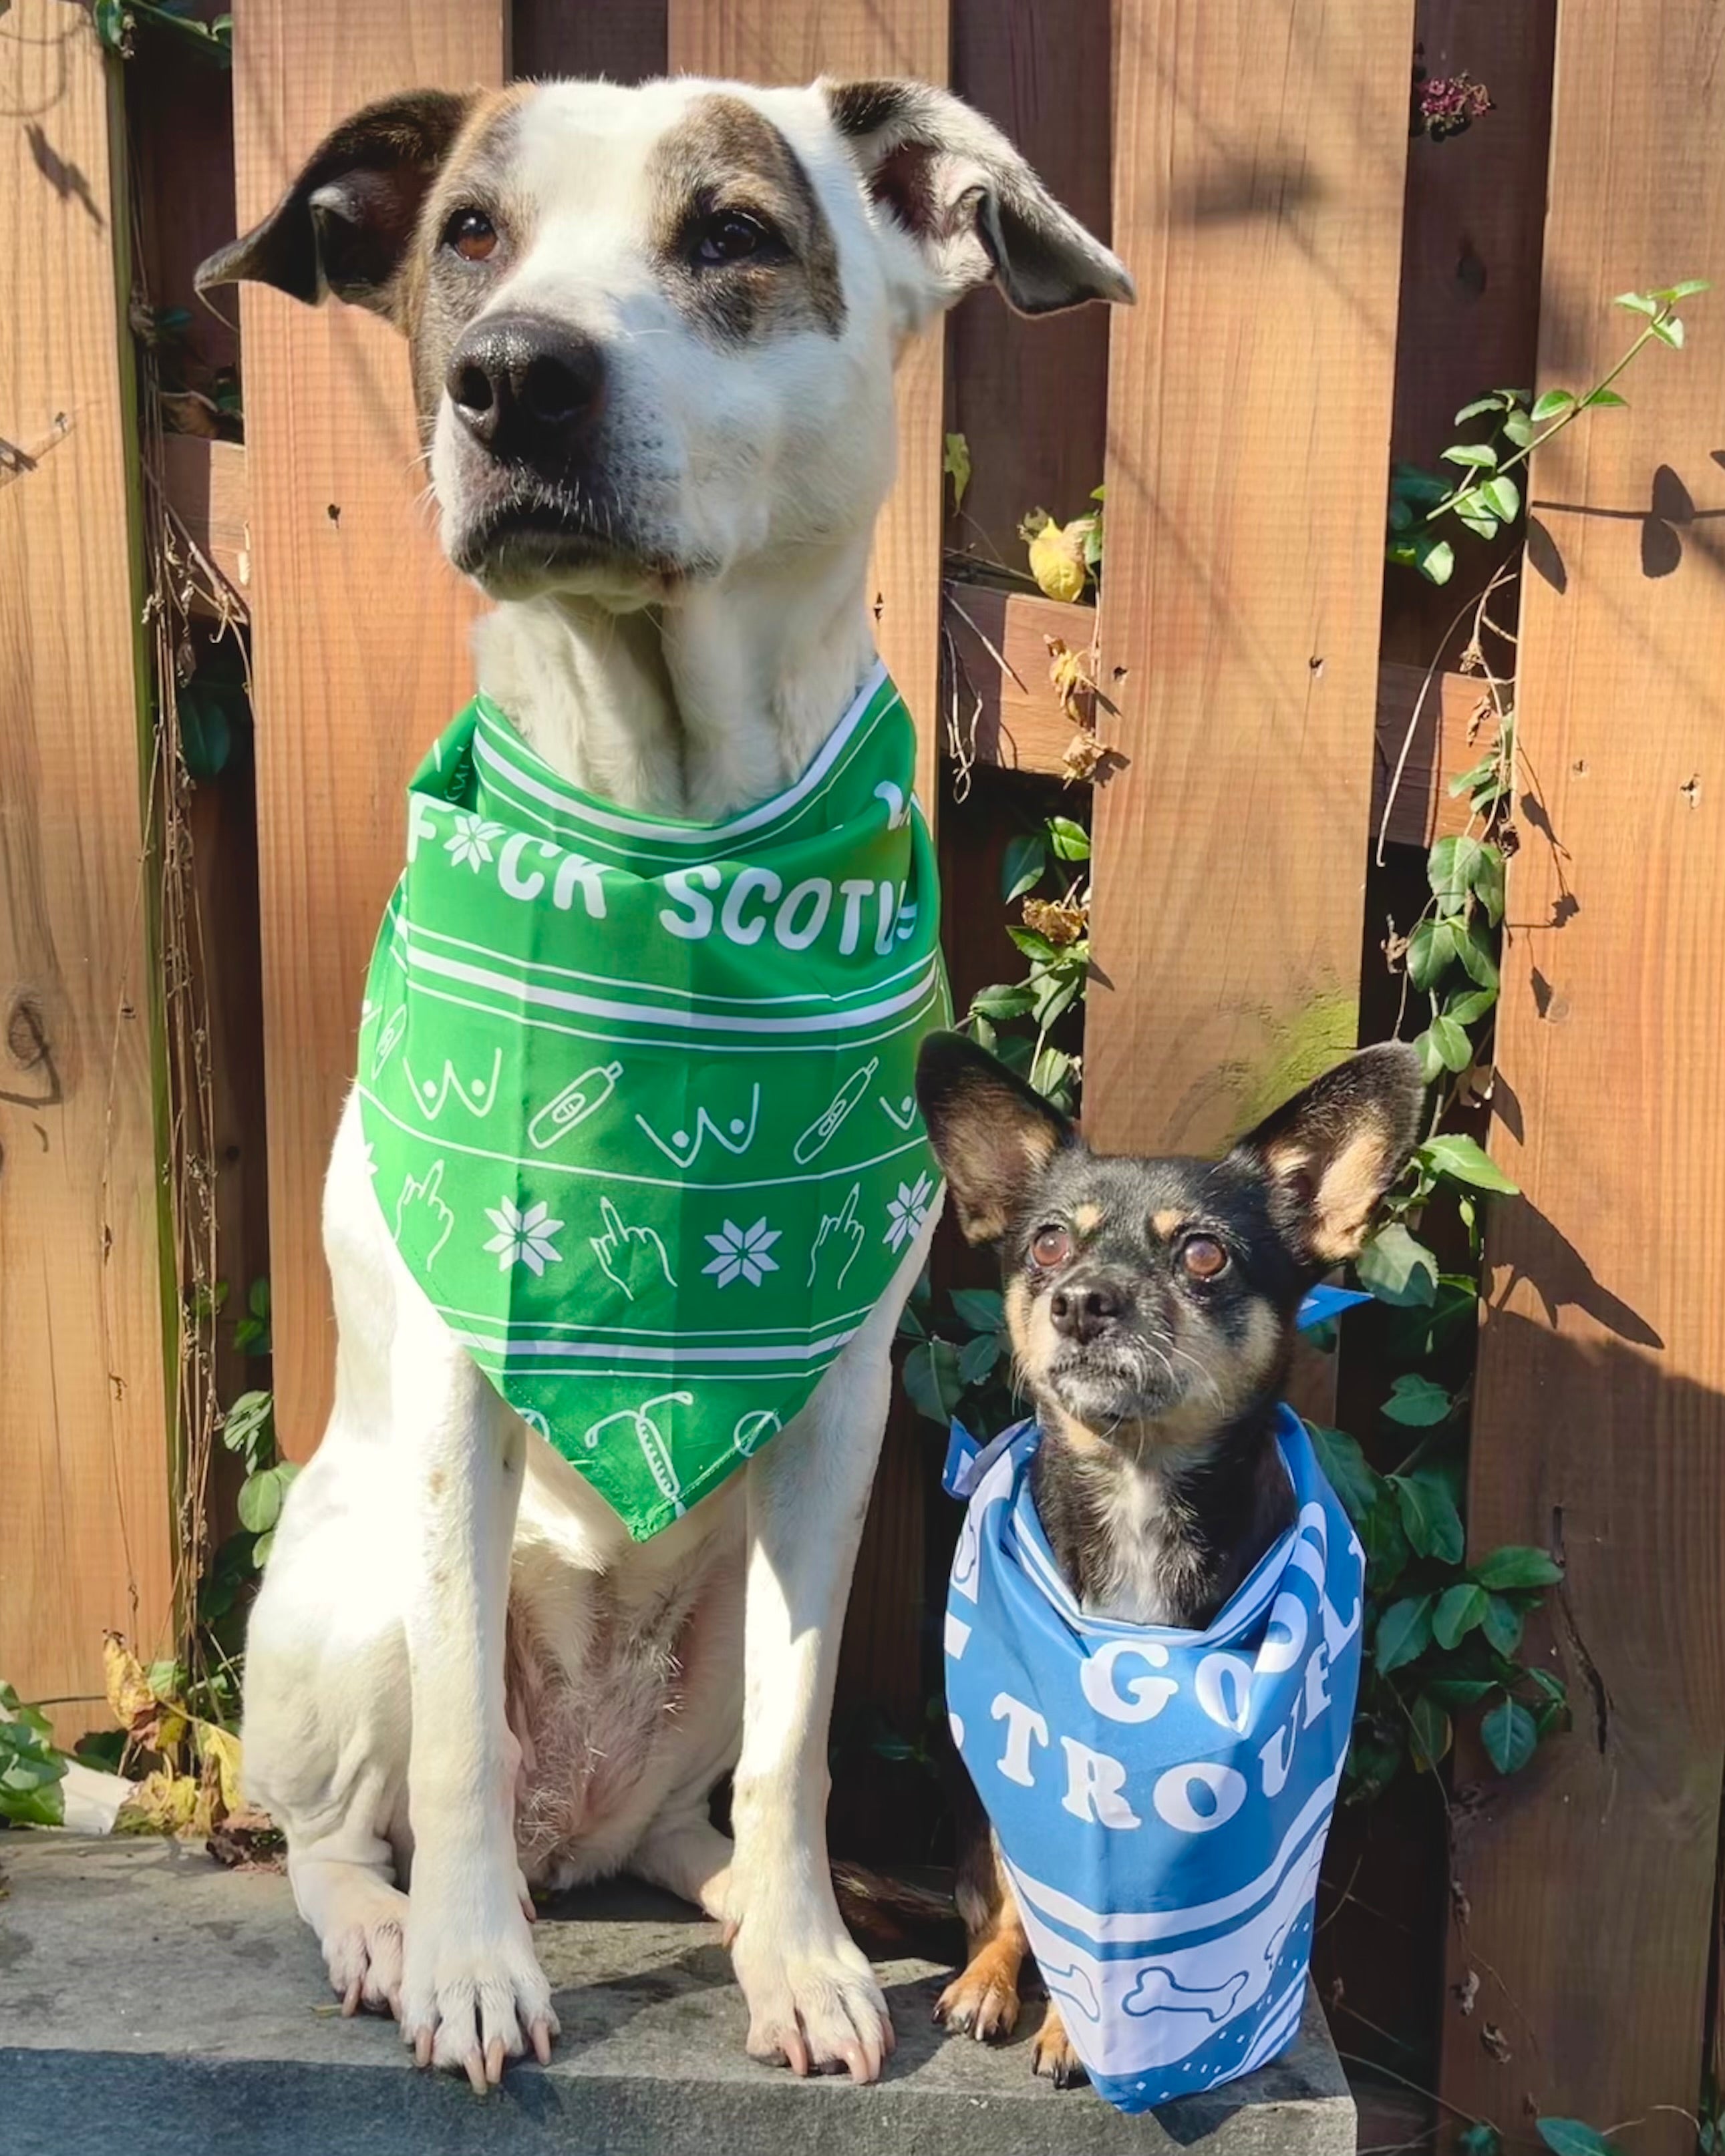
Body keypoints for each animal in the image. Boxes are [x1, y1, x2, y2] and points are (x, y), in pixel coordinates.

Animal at [198, 75, 1130, 2095]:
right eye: (468, 234)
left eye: (731, 238)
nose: (512, 380)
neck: (672, 852)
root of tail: (586, 1827)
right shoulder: (461, 1386)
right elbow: (456, 1752)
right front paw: (471, 1967)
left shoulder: (842, 1421)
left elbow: (795, 1746)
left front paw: (807, 1961)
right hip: (349, 1589)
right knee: (334, 1824)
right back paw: (391, 1925)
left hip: (699, 1652)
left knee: (687, 1806)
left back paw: (746, 1904)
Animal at [910, 1035, 1423, 2078]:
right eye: (1048, 1245)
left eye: (1202, 1253)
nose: (1080, 1301)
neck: (1136, 1481)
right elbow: (1044, 1909)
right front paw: (1025, 1999)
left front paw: (1078, 2034)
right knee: (1007, 1911)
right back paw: (985, 1980)